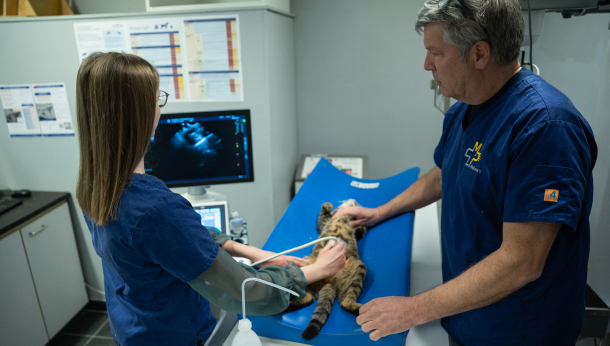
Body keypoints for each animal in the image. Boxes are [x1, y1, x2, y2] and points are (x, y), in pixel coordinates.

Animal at [288, 200, 368, 340]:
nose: (354, 200)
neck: (345, 216)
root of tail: (331, 281)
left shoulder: (327, 222)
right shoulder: (324, 222)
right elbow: (324, 213)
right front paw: (329, 205)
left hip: (358, 269)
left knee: (343, 301)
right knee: (310, 297)